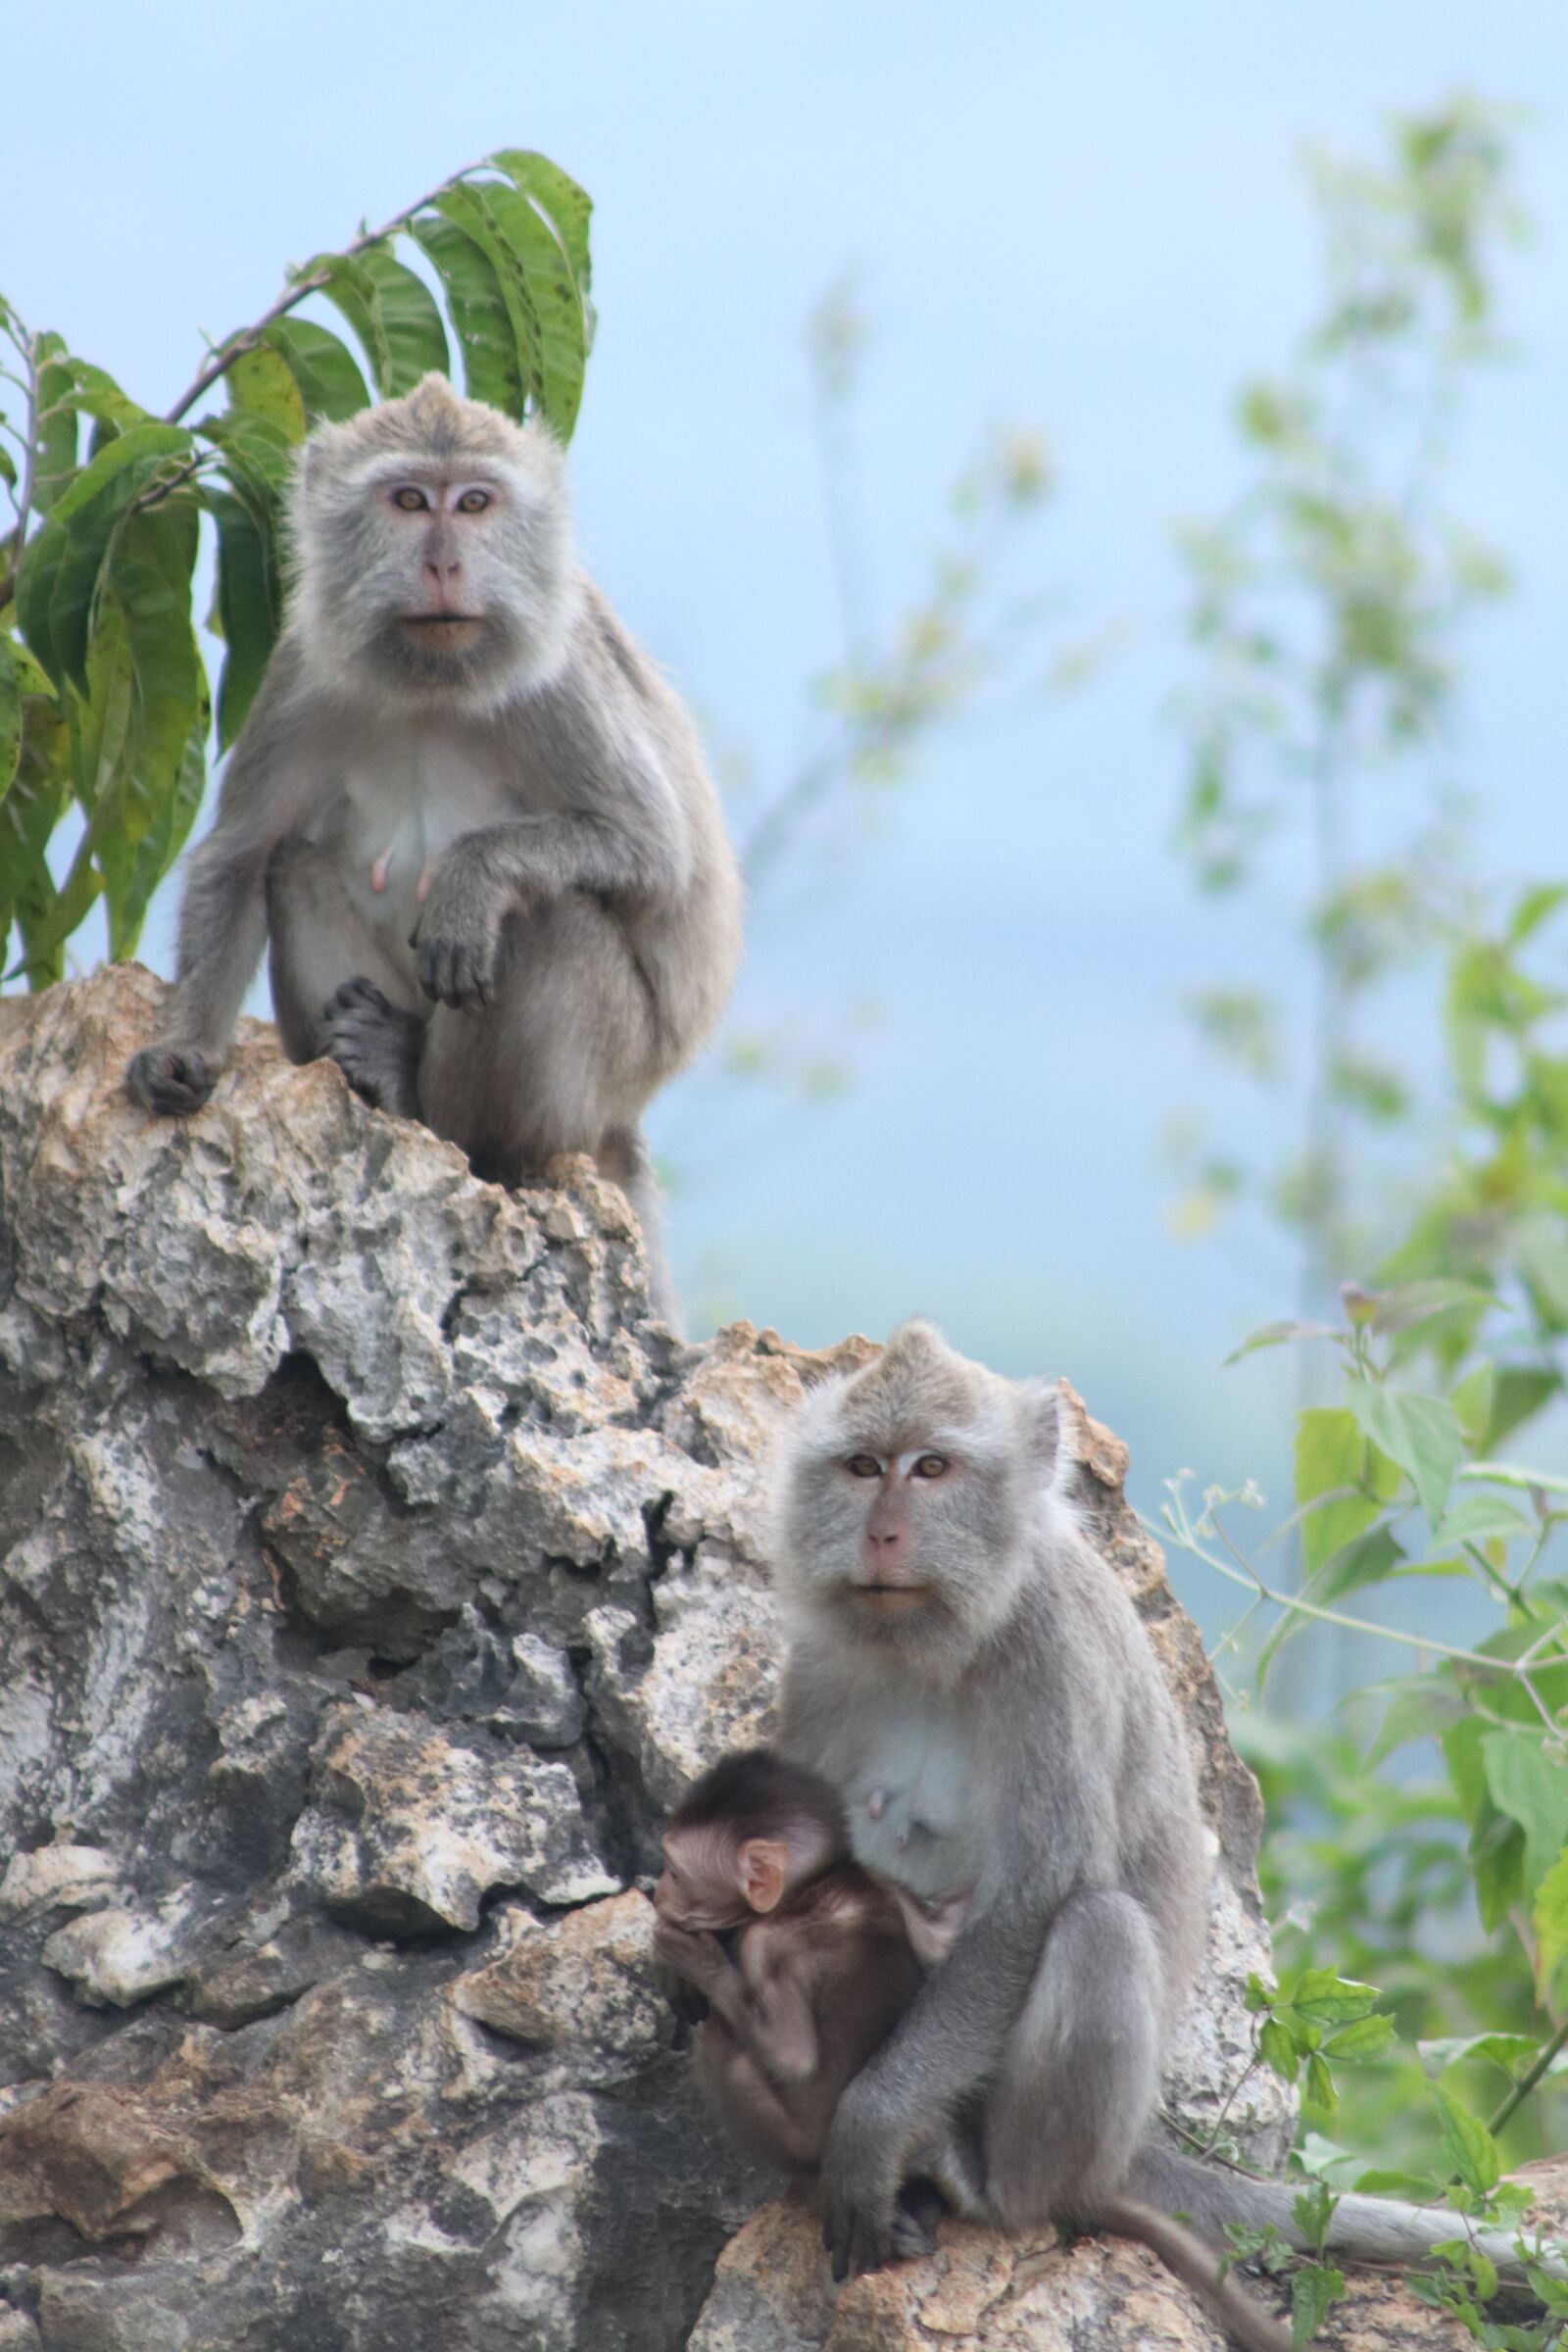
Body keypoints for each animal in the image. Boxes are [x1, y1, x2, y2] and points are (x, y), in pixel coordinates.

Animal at [126, 374, 743, 1326]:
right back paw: (381, 1076)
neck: (434, 680)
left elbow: (651, 849)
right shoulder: (302, 664)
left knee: (545, 926)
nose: (446, 564)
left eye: (476, 503)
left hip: (607, 1076)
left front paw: (471, 879)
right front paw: (184, 1050)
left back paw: (431, 1102)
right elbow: (241, 853)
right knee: (292, 868)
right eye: (411, 501)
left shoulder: (562, 678)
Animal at [652, 1747, 975, 2255]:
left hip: (803, 2147)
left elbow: (792, 2058)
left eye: (676, 1873)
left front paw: (694, 1957)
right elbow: (949, 1930)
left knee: (726, 2053)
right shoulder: (879, 1878)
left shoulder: (763, 1942)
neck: (815, 1888)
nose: (657, 1892)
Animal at [769, 1321, 1564, 2352]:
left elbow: (1038, 1894)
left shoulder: (1052, 1649)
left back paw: (993, 2184)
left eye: (933, 1467)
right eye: (864, 1466)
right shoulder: (815, 1668)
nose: (884, 1533)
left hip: (1072, 2138)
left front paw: (870, 2125)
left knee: (1097, 1927)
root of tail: (1127, 2150)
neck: (934, 1640)